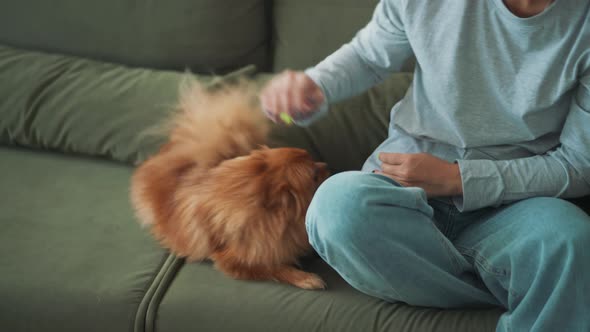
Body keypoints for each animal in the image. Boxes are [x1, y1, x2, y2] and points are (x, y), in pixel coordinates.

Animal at [130, 79, 330, 290]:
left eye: (313, 159)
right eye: (314, 175)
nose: (326, 165)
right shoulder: (234, 260)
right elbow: (276, 268)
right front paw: (306, 278)